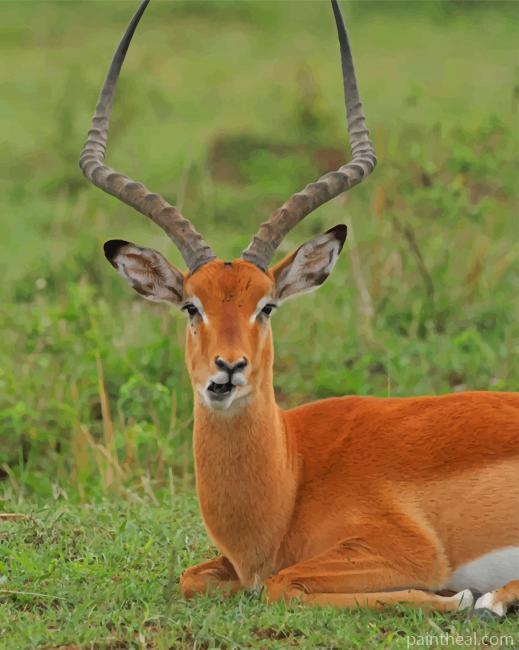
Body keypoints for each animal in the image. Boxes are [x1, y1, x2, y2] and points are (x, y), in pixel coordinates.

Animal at [80, 0, 519, 617]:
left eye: (267, 306)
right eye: (191, 306)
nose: (228, 369)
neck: (291, 479)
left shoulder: (406, 549)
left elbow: (284, 584)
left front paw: (454, 597)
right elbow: (195, 577)